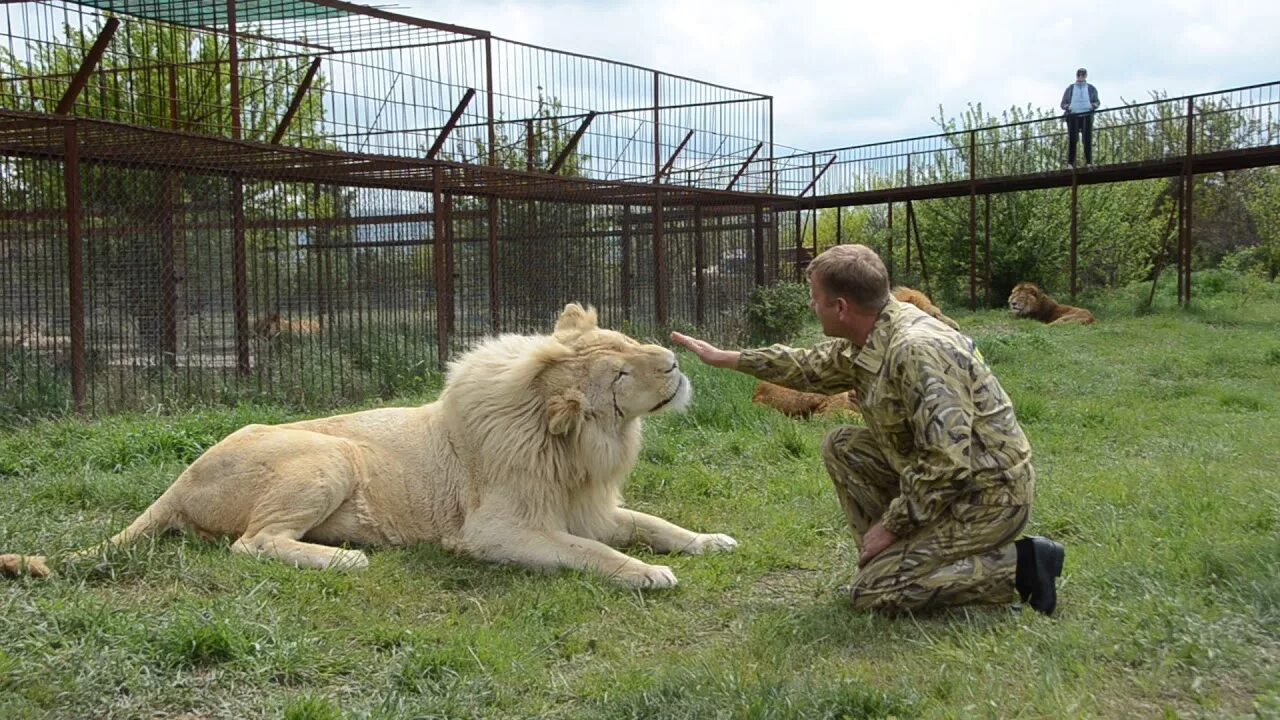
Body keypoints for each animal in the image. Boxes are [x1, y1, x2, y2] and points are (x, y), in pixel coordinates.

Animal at [0, 299, 742, 586]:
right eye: (618, 374)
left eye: (627, 342)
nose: (672, 362)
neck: (579, 451)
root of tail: (179, 478)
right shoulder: (494, 532)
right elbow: (591, 553)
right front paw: (646, 573)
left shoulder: (592, 506)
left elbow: (654, 523)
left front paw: (710, 541)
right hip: (328, 455)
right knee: (252, 544)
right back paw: (346, 560)